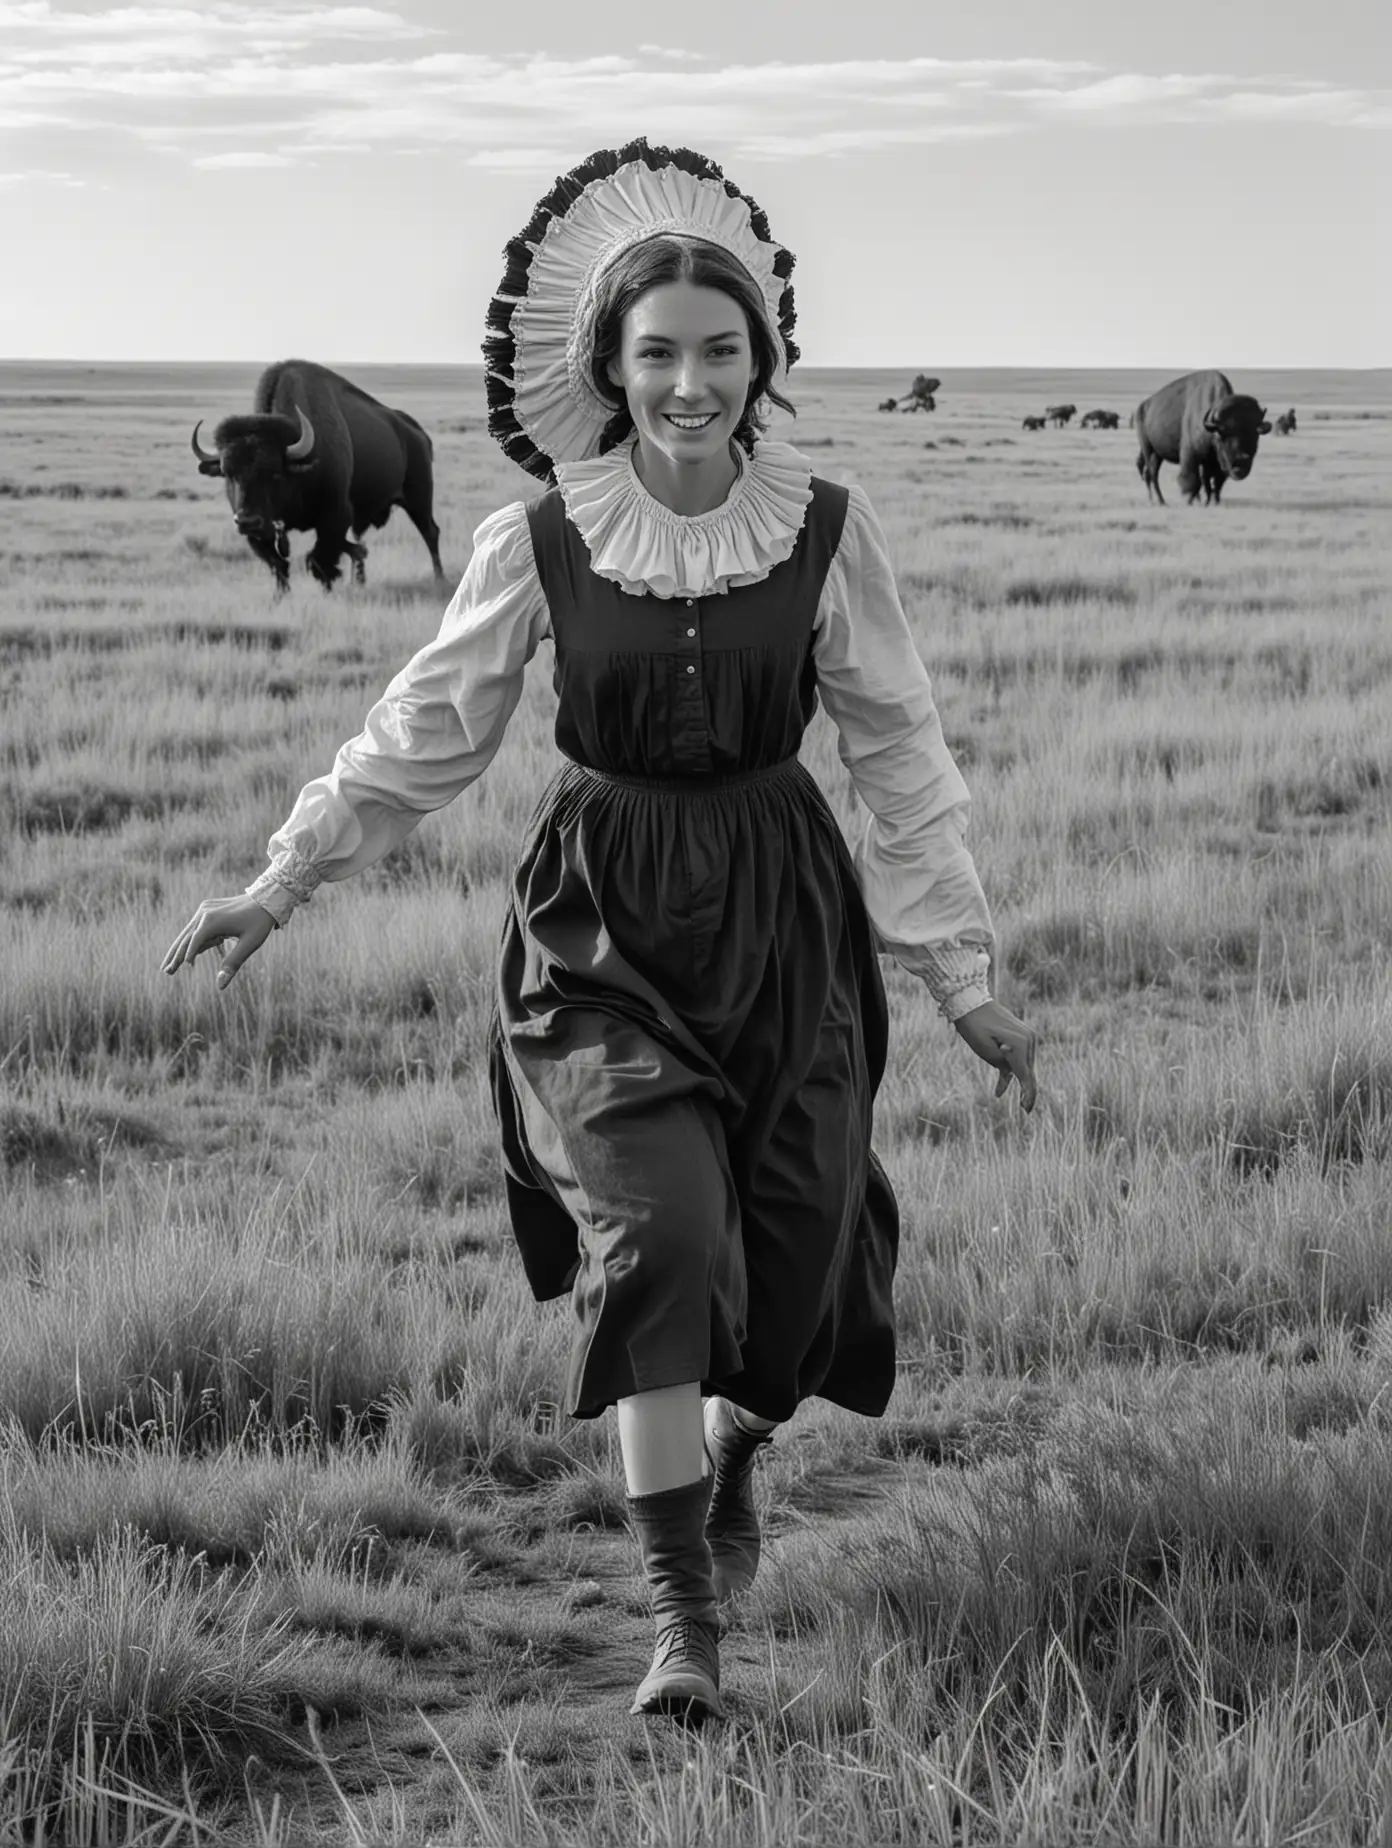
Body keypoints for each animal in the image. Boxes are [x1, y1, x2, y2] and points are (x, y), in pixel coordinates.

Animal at [191, 354, 445, 591]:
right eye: (228, 473)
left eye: (274, 473)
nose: (247, 521)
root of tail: (418, 434)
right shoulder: (266, 534)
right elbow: (280, 565)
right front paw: (280, 597)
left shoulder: (335, 515)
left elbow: (319, 559)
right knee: (360, 540)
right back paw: (359, 579)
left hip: (419, 500)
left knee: (431, 533)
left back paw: (439, 578)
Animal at [1131, 367, 1271, 506]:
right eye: (1222, 434)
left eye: (1255, 433)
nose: (1241, 461)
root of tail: (1142, 407)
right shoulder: (1191, 455)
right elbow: (1194, 481)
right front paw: (1191, 501)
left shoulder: (1213, 463)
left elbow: (1213, 483)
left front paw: (1212, 502)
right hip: (1149, 451)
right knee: (1152, 475)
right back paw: (1161, 501)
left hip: (1158, 455)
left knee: (1151, 474)